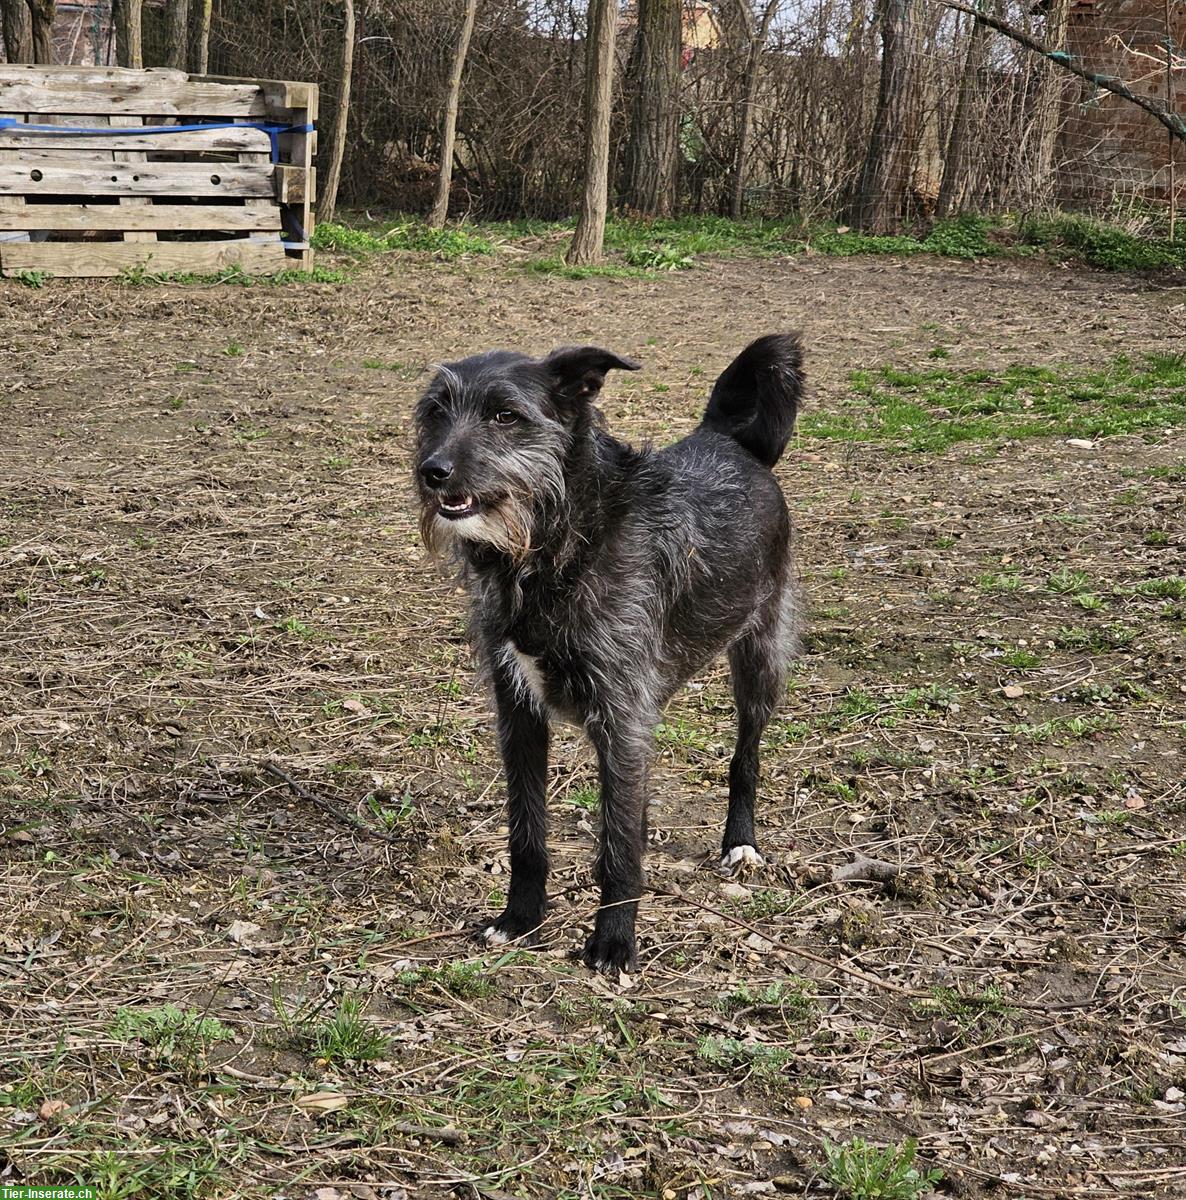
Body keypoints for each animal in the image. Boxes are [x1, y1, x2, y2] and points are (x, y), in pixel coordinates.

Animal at [415, 333, 806, 969]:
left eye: (505, 416)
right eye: (435, 412)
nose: (433, 471)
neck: (558, 544)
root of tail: (728, 439)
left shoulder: (621, 718)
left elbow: (620, 847)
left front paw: (614, 941)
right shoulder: (517, 711)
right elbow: (527, 831)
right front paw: (520, 919)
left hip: (760, 655)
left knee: (745, 755)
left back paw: (740, 842)